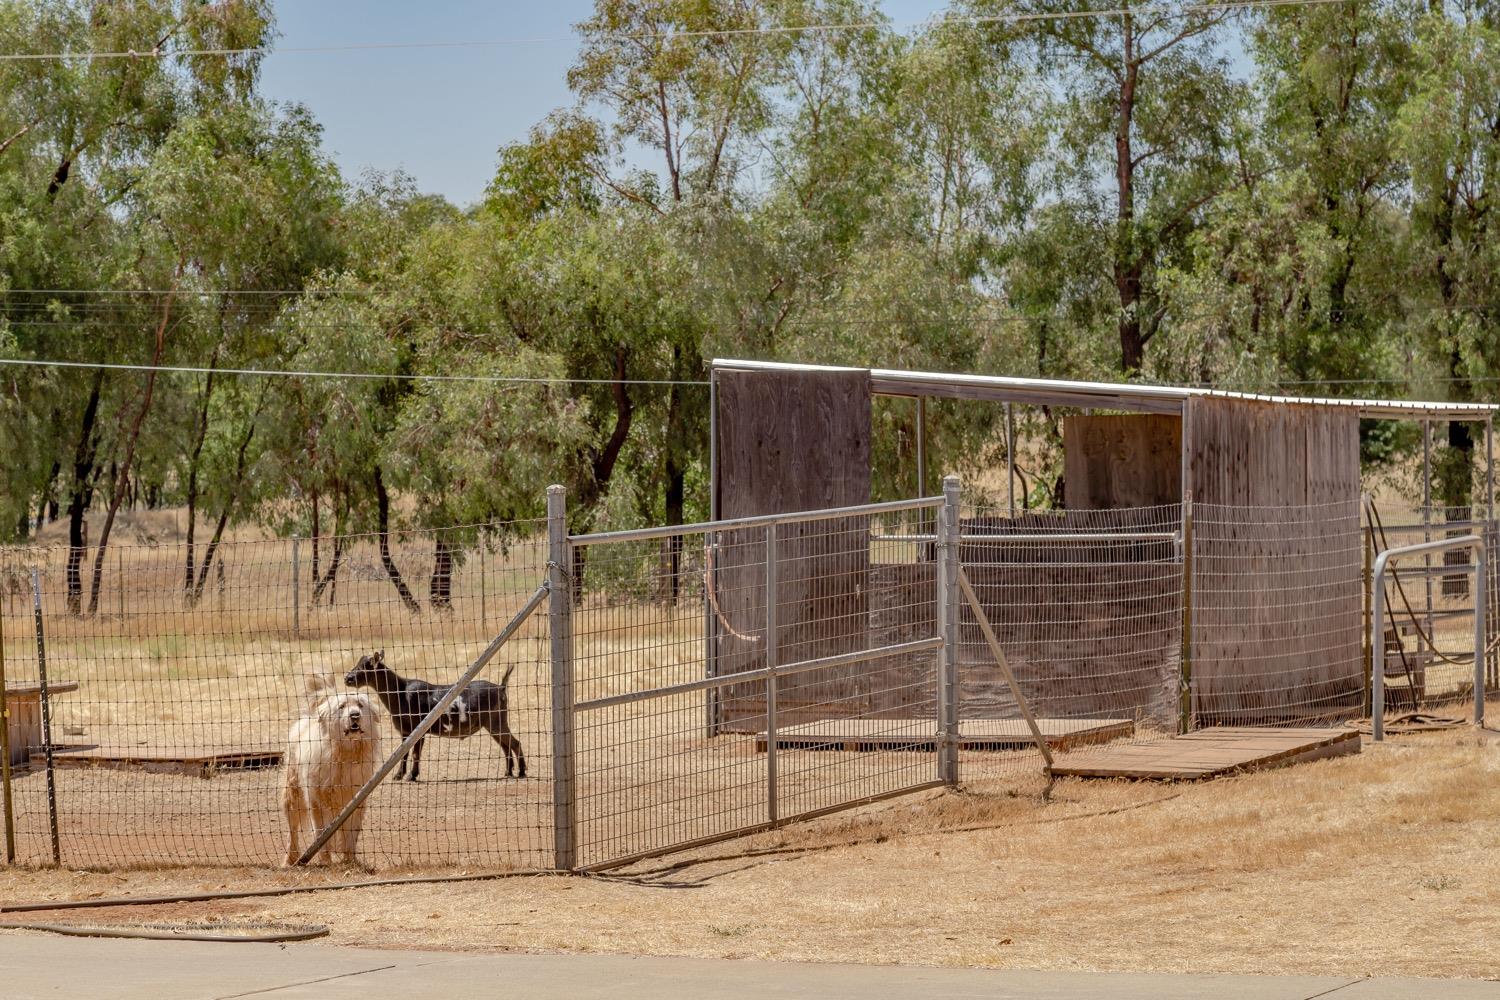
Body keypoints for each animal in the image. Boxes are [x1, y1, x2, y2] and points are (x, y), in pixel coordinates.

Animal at [282, 680, 378, 869]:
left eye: (360, 705)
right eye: (342, 707)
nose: (355, 715)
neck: (345, 754)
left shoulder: (356, 800)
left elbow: (350, 836)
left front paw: (350, 862)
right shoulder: (317, 801)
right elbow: (321, 835)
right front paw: (326, 861)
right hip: (293, 795)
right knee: (293, 831)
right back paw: (290, 859)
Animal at [343, 650, 528, 779]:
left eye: (366, 665)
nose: (347, 678)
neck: (400, 693)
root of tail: (501, 687)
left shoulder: (418, 730)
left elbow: (415, 754)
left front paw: (411, 776)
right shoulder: (405, 731)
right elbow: (404, 754)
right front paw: (398, 776)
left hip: (496, 721)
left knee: (515, 743)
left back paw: (521, 772)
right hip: (493, 723)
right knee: (505, 746)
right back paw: (508, 772)